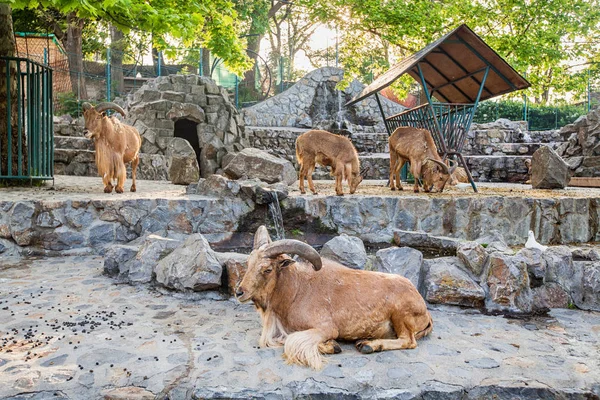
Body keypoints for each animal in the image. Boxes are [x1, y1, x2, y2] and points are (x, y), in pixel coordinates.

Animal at [234, 227, 432, 370]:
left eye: (267, 269)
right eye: (248, 264)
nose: (239, 292)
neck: (296, 291)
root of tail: (424, 310)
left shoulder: (325, 328)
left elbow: (291, 340)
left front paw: (332, 346)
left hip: (401, 314)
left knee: (408, 341)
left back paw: (369, 345)